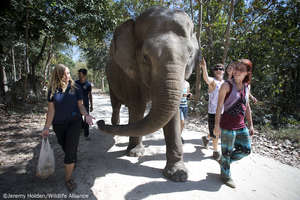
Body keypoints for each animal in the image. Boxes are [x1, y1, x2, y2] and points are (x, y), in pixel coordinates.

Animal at [98, 6, 199, 182]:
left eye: (190, 56)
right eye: (145, 57)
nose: (99, 122)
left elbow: (172, 115)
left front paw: (178, 174)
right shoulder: (130, 72)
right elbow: (138, 106)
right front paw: (134, 153)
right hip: (110, 80)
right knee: (116, 105)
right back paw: (115, 127)